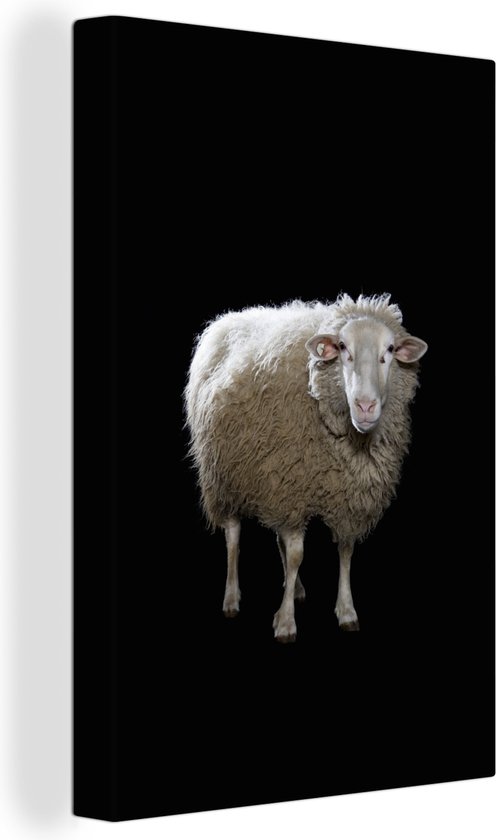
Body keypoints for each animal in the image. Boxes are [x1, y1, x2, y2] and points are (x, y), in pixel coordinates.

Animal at [184, 294, 428, 642]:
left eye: (391, 350)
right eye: (342, 347)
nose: (366, 406)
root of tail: (225, 320)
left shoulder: (335, 493)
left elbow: (345, 550)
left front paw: (346, 611)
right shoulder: (293, 487)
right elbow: (298, 553)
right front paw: (286, 621)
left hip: (271, 476)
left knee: (278, 540)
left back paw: (294, 586)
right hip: (222, 474)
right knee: (233, 535)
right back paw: (231, 598)